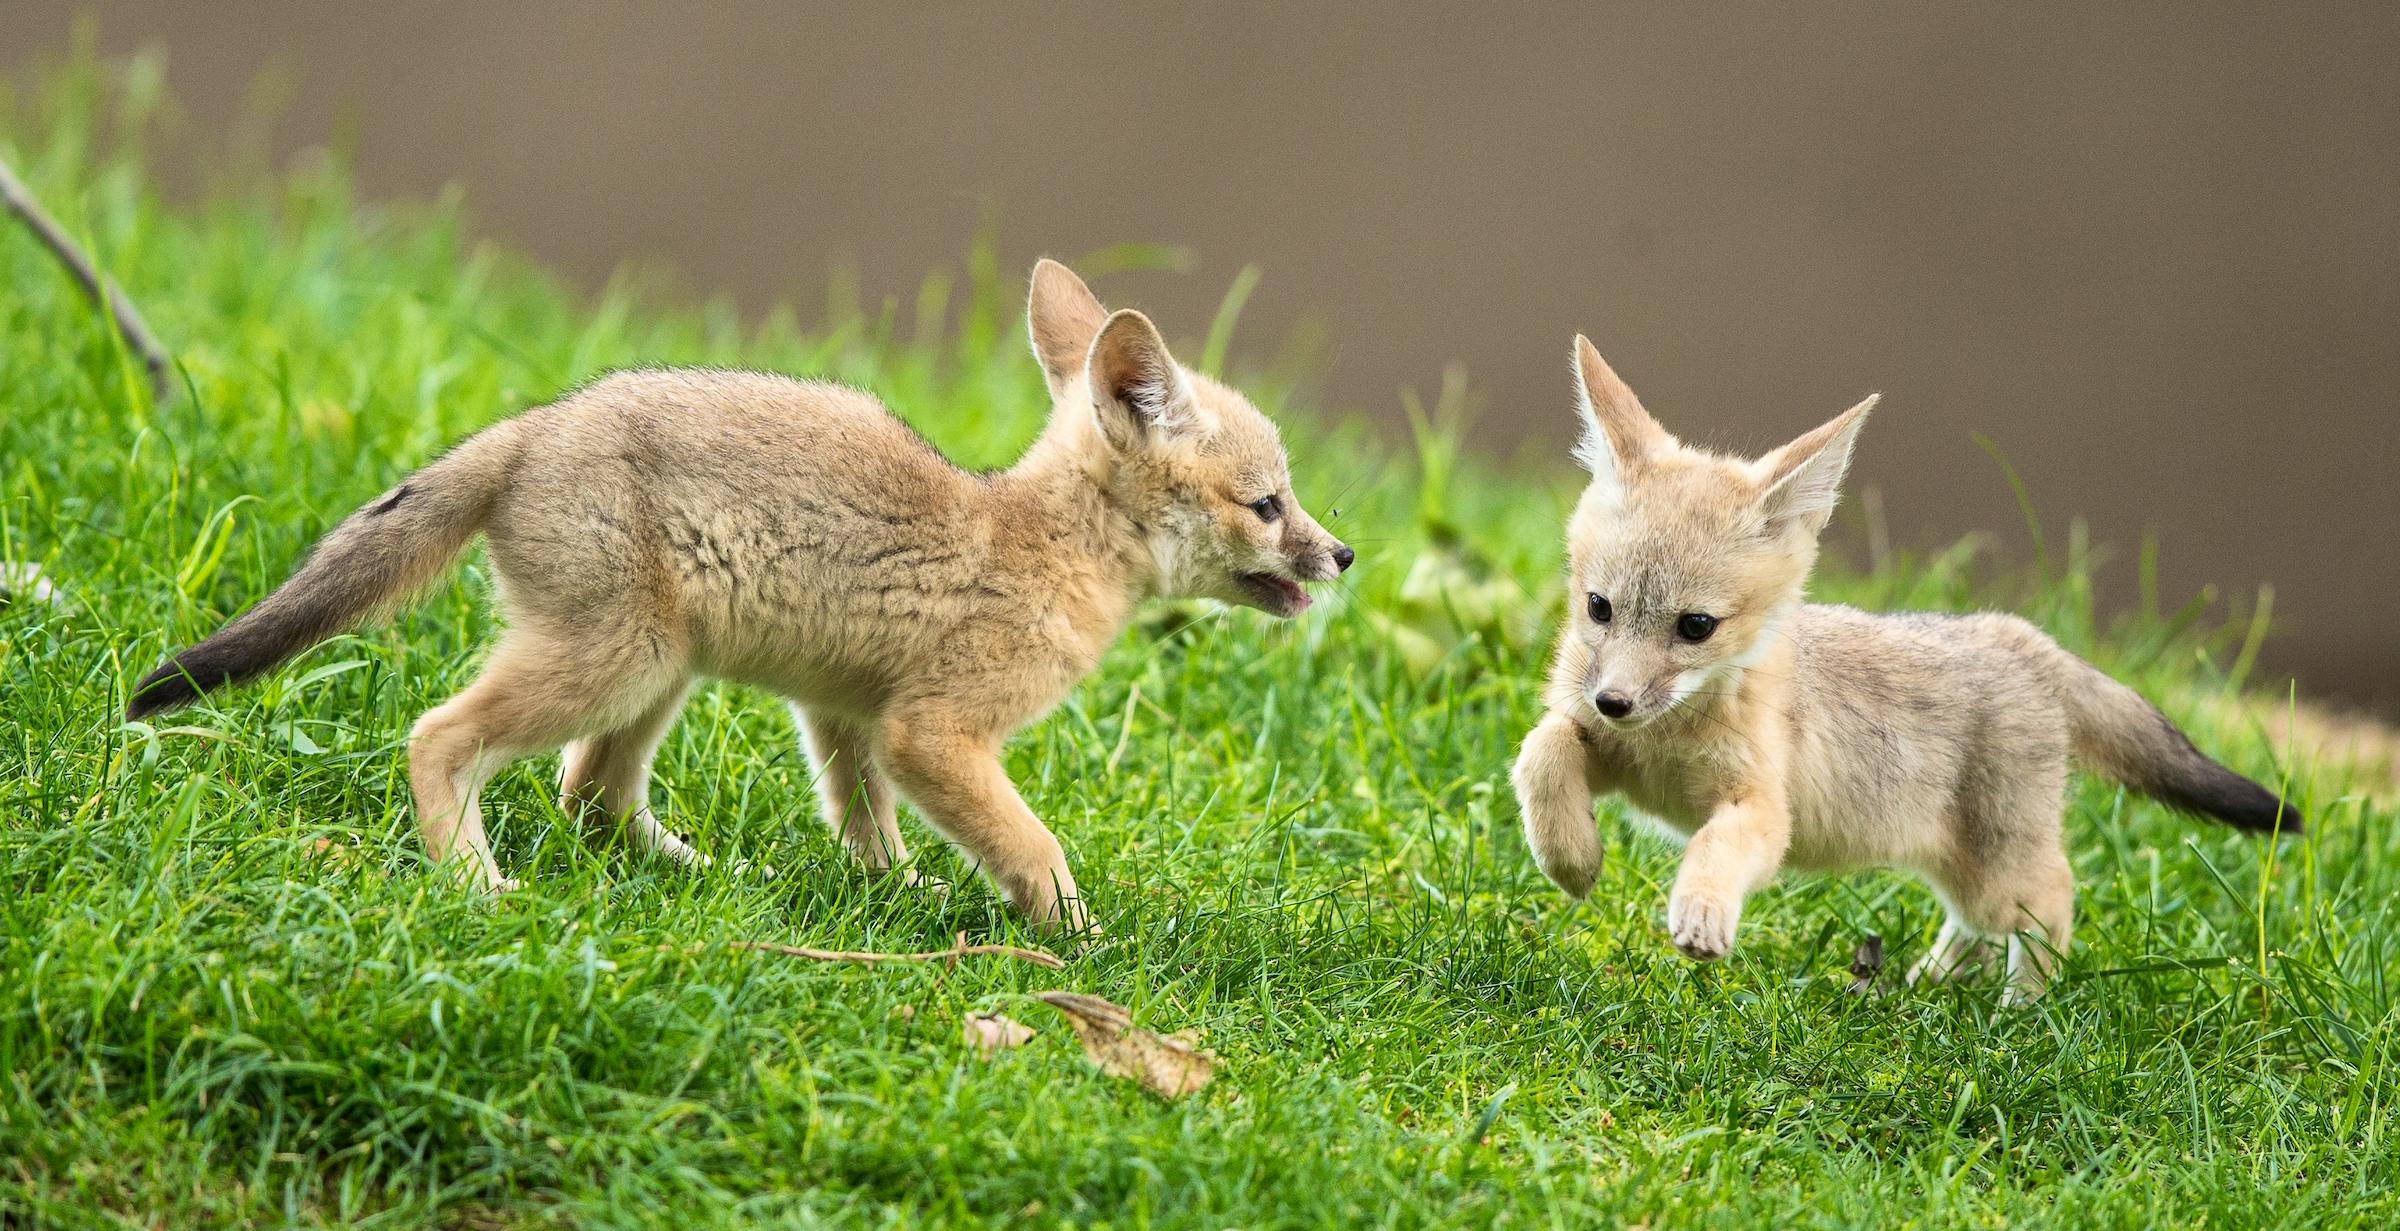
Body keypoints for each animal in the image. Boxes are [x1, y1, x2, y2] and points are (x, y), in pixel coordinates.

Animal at [125, 260, 1353, 929]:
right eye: (1268, 504)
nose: (1343, 556)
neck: (1035, 540)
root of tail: (535, 427)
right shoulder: (934, 732)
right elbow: (1034, 846)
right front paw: (1080, 936)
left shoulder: (848, 715)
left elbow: (868, 830)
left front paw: (891, 901)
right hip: (612, 665)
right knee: (442, 737)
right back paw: (474, 883)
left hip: (658, 676)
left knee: (592, 800)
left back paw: (707, 877)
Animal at [1510, 337, 2299, 1002]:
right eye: (1599, 607)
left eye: (1695, 627)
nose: (1614, 701)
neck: (1664, 739)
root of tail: (2017, 633)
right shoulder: (1599, 744)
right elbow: (1540, 753)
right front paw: (1571, 859)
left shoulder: (1760, 810)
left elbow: (1714, 847)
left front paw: (1700, 910)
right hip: (1957, 868)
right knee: (1981, 928)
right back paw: (1924, 986)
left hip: (1997, 873)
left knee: (2053, 901)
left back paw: (2018, 1016)